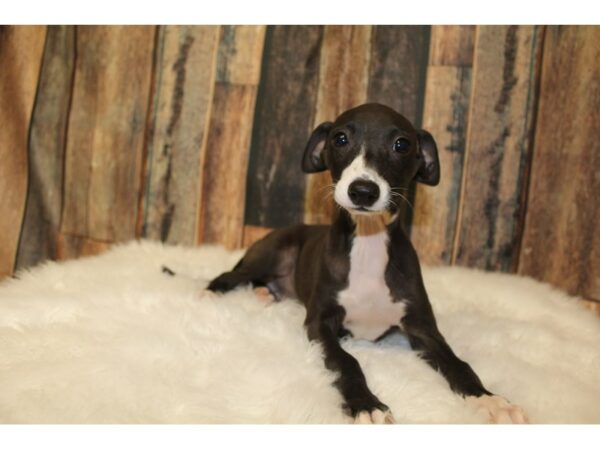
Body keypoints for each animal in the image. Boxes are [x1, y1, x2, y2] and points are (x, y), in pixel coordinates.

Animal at [209, 103, 528, 424]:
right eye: (340, 139)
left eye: (402, 144)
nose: (363, 190)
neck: (367, 243)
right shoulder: (319, 323)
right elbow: (346, 360)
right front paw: (366, 404)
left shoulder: (422, 328)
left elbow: (457, 362)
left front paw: (489, 400)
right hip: (271, 254)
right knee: (229, 275)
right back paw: (210, 295)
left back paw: (263, 294)